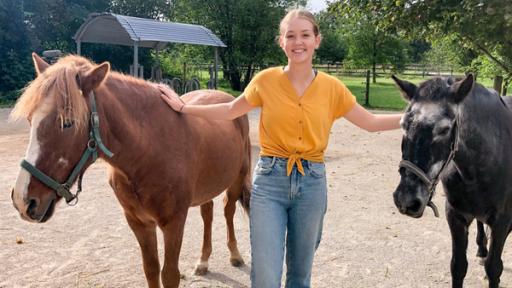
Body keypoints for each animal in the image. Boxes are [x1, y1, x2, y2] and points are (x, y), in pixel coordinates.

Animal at [9, 53, 252, 286]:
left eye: (67, 122)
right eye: (30, 120)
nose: (23, 201)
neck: (148, 152)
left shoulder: (173, 224)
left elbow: (169, 275)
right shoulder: (139, 223)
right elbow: (151, 271)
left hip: (236, 181)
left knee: (228, 210)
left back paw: (235, 255)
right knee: (207, 213)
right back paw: (203, 261)